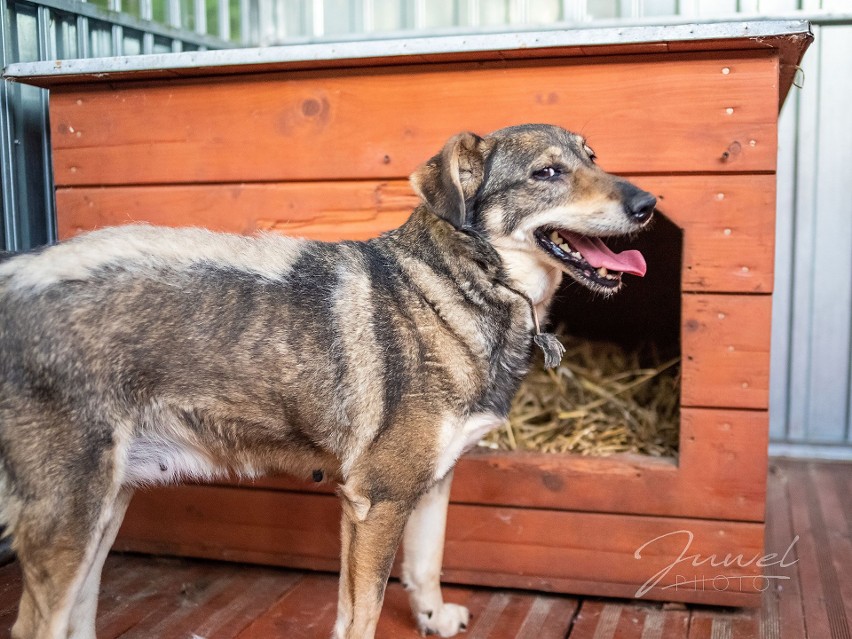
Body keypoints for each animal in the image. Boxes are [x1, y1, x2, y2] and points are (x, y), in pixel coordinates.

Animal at [0, 125, 656, 639]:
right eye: (548, 172)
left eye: (593, 156)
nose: (649, 202)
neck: (457, 287)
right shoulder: (375, 501)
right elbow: (360, 616)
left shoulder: (432, 482)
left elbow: (426, 566)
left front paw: (434, 617)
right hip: (72, 519)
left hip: (106, 512)